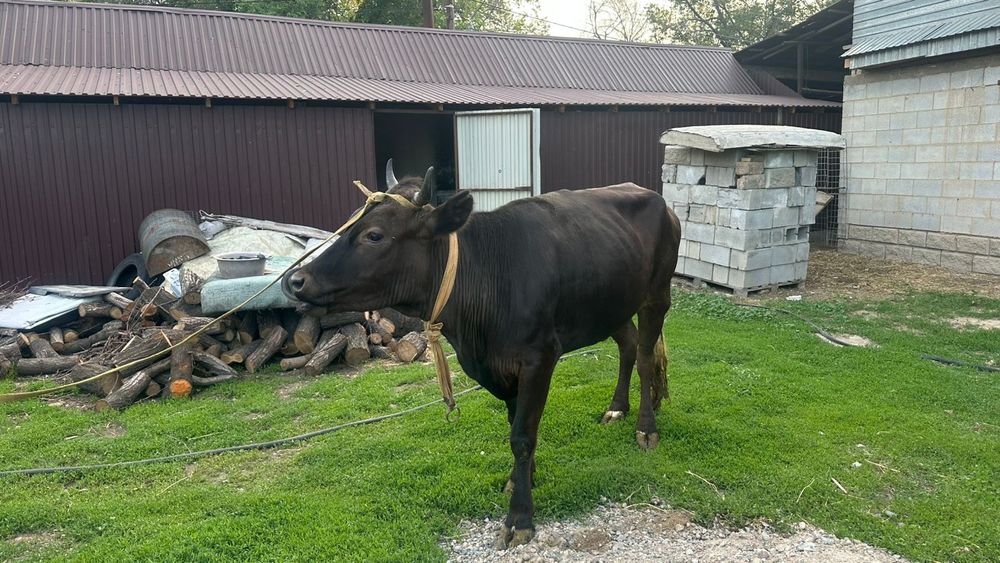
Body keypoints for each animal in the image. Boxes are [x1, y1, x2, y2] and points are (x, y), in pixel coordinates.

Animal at [283, 164, 681, 549]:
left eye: (375, 235)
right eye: (352, 219)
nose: (296, 280)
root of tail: (653, 197)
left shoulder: (539, 357)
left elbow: (522, 436)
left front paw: (520, 519)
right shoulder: (499, 366)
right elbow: (516, 425)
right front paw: (521, 479)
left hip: (657, 295)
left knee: (645, 357)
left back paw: (646, 428)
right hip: (611, 305)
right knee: (628, 346)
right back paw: (616, 409)